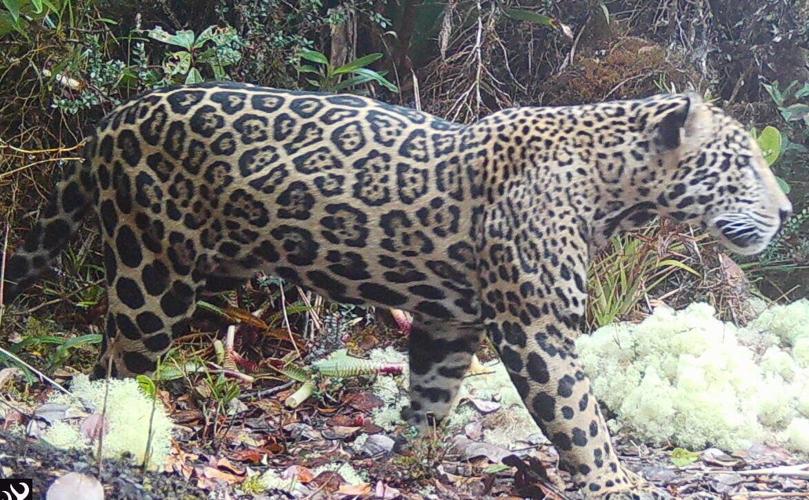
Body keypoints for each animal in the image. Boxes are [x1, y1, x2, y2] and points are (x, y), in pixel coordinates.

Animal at [2, 81, 791, 497]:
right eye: (744, 163)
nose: (786, 211)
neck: (614, 188)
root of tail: (112, 121)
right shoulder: (534, 327)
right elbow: (581, 419)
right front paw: (616, 483)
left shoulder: (451, 321)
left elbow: (433, 394)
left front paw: (412, 459)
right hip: (153, 272)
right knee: (117, 364)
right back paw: (124, 437)